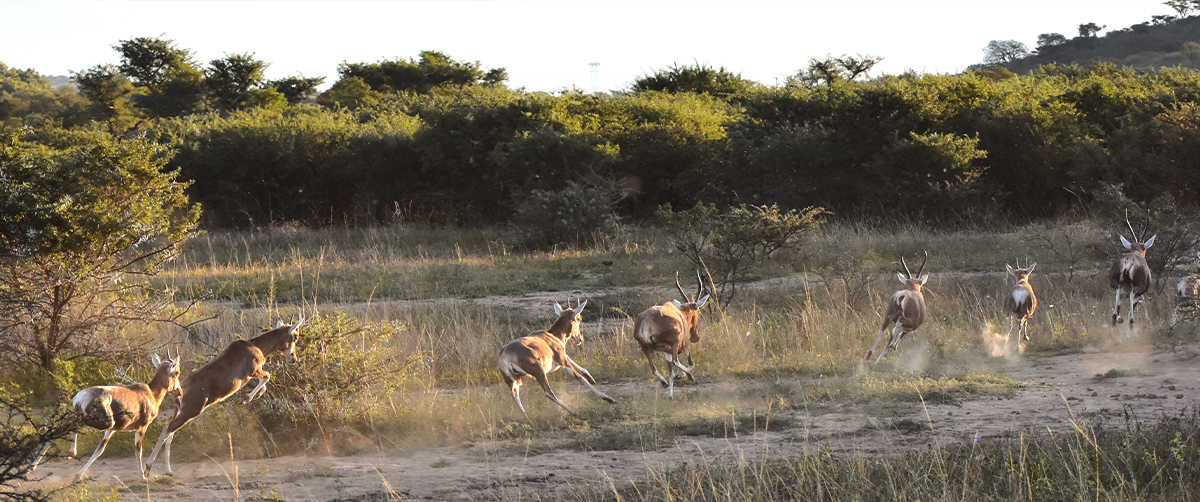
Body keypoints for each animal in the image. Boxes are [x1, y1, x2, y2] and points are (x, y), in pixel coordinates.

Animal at [67, 350, 180, 480]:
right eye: (176, 372)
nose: (179, 391)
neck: (150, 392)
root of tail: (81, 396)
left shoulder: (112, 430)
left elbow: (99, 450)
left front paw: (78, 475)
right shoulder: (142, 428)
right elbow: (138, 452)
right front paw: (143, 478)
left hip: (104, 423)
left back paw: (67, 452)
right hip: (103, 422)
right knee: (73, 423)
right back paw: (71, 452)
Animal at [142, 317, 302, 477]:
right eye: (295, 336)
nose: (293, 358)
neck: (253, 345)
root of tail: (182, 389)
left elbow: (263, 386)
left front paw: (247, 398)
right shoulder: (253, 372)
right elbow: (267, 377)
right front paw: (243, 400)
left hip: (179, 412)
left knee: (170, 435)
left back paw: (168, 470)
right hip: (190, 412)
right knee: (166, 431)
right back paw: (148, 468)